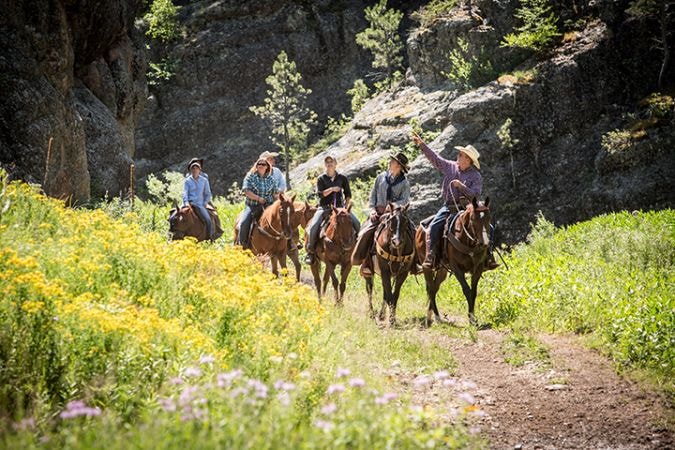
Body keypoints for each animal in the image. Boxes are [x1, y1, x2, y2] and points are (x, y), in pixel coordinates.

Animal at [412, 197, 492, 326]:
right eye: (473, 219)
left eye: (489, 218)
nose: (484, 243)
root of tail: (419, 229)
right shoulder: (456, 268)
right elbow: (467, 290)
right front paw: (471, 319)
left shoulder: (478, 268)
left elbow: (474, 292)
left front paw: (473, 317)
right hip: (427, 267)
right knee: (430, 288)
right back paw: (436, 317)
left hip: (442, 270)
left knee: (434, 288)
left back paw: (432, 315)